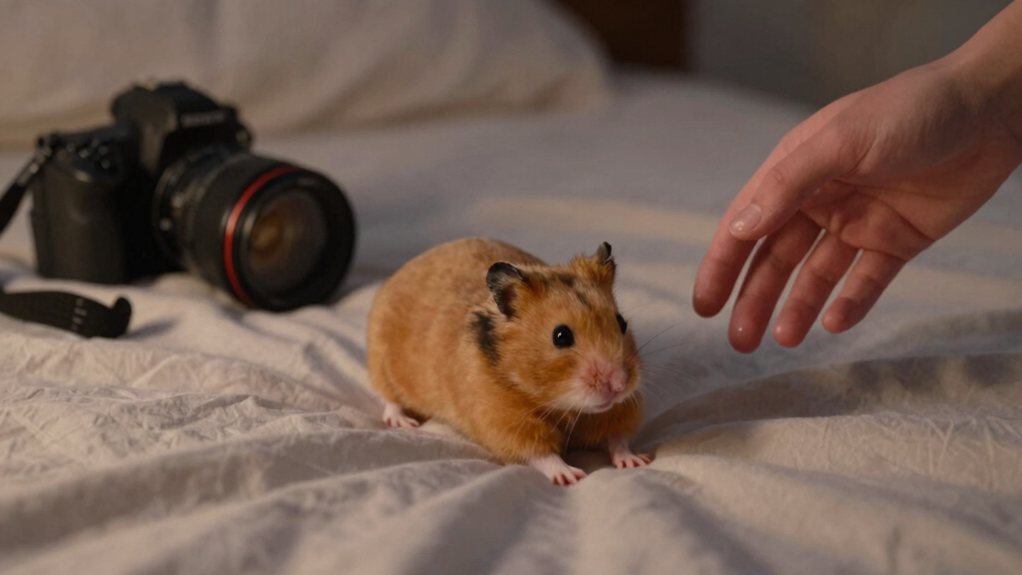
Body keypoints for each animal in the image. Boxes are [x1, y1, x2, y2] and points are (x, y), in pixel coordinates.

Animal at [367, 237, 651, 485]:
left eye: (621, 322)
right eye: (561, 336)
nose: (619, 385)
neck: (563, 405)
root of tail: (408, 265)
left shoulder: (616, 411)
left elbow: (617, 438)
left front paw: (637, 461)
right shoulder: (505, 421)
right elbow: (541, 453)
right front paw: (572, 476)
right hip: (380, 362)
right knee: (388, 399)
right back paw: (403, 422)